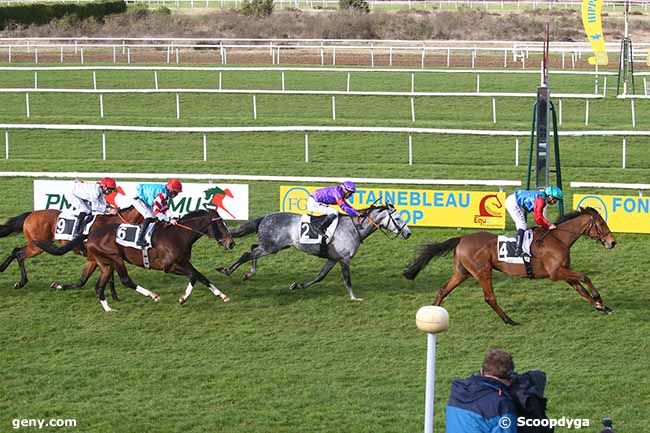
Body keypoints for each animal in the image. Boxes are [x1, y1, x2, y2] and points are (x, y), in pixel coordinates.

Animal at [0, 207, 142, 294]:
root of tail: (31, 214)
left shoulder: (97, 259)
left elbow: (82, 281)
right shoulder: (96, 258)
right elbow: (85, 280)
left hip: (35, 245)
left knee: (16, 250)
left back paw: (5, 270)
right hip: (36, 247)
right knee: (19, 254)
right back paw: (20, 282)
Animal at [33, 208, 234, 310]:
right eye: (220, 224)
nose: (231, 243)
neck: (178, 234)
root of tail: (89, 235)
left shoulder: (185, 262)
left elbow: (201, 276)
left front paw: (222, 295)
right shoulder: (169, 266)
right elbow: (193, 276)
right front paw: (183, 298)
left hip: (104, 264)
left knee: (98, 286)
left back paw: (109, 309)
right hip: (115, 258)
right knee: (125, 280)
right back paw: (152, 295)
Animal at [216, 203, 410, 300]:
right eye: (398, 218)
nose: (408, 233)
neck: (354, 228)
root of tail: (266, 217)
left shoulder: (333, 258)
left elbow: (320, 277)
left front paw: (297, 285)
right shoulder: (344, 259)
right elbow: (347, 280)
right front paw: (354, 297)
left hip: (272, 246)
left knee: (252, 248)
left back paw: (249, 273)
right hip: (270, 247)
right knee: (246, 254)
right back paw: (227, 270)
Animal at [402, 207, 616, 324]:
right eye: (602, 224)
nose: (612, 242)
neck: (558, 238)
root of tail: (461, 238)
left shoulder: (564, 272)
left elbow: (581, 290)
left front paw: (601, 306)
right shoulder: (556, 273)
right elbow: (585, 277)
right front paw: (599, 299)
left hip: (462, 273)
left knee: (443, 290)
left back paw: (432, 313)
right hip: (482, 271)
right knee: (490, 298)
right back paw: (509, 320)